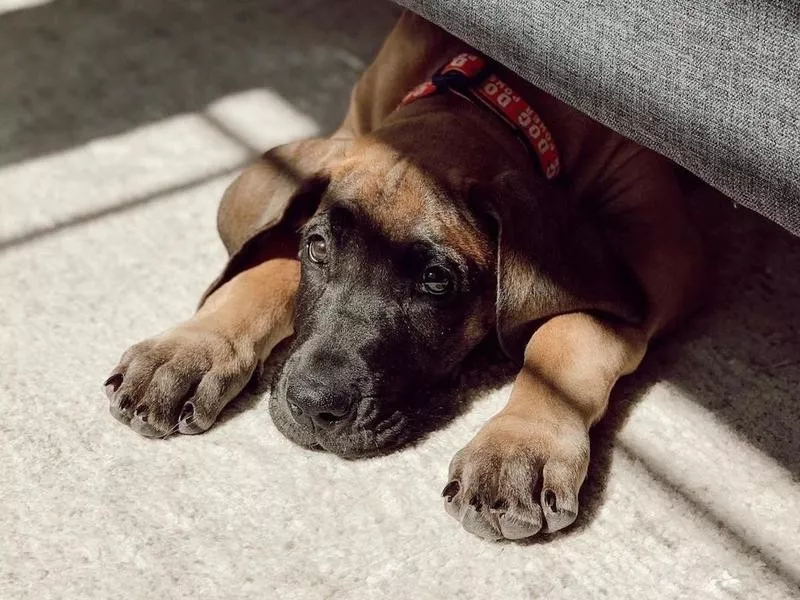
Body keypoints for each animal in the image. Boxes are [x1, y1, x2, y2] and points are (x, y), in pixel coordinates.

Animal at [104, 11, 700, 540]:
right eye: (317, 248)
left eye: (436, 279)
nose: (312, 408)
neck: (500, 96)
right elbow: (265, 267)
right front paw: (191, 349)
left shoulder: (655, 261)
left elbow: (568, 332)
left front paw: (519, 445)